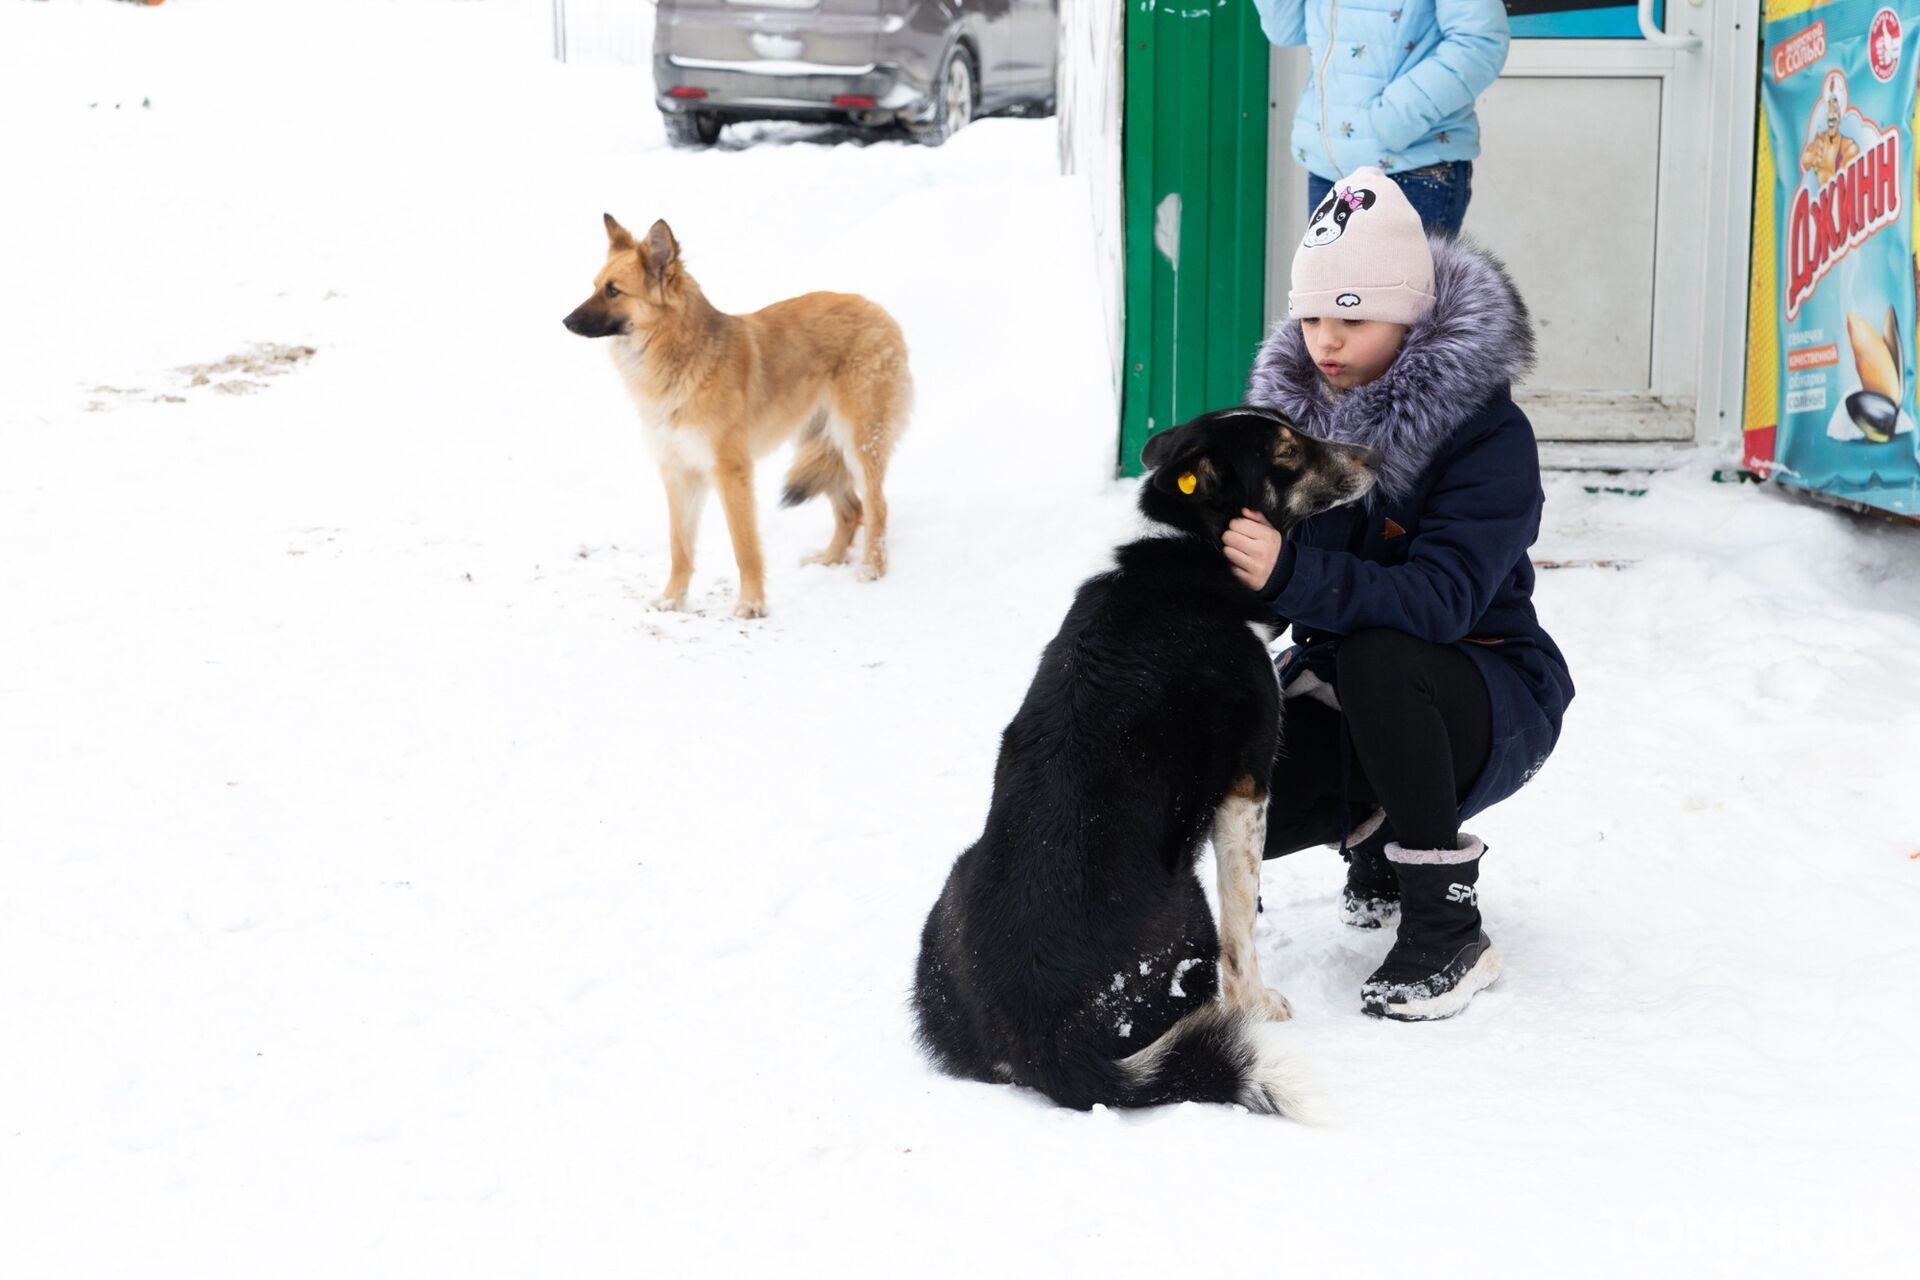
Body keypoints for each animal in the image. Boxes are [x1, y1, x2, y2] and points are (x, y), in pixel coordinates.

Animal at [560, 217, 913, 617]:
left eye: (613, 291)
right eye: (595, 286)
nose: (565, 321)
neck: (681, 355)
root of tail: (877, 310)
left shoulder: (730, 473)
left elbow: (744, 547)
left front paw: (752, 603)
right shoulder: (678, 473)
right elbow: (680, 546)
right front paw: (672, 598)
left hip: (858, 441)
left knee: (877, 506)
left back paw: (872, 568)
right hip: (818, 442)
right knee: (851, 509)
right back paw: (829, 561)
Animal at [906, 404, 1374, 1113]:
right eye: (1286, 451)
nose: (1375, 456)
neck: (1188, 550)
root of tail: (1043, 1040)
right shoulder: (1247, 789)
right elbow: (1243, 929)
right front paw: (1260, 1003)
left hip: (952, 893)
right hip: (1188, 904)